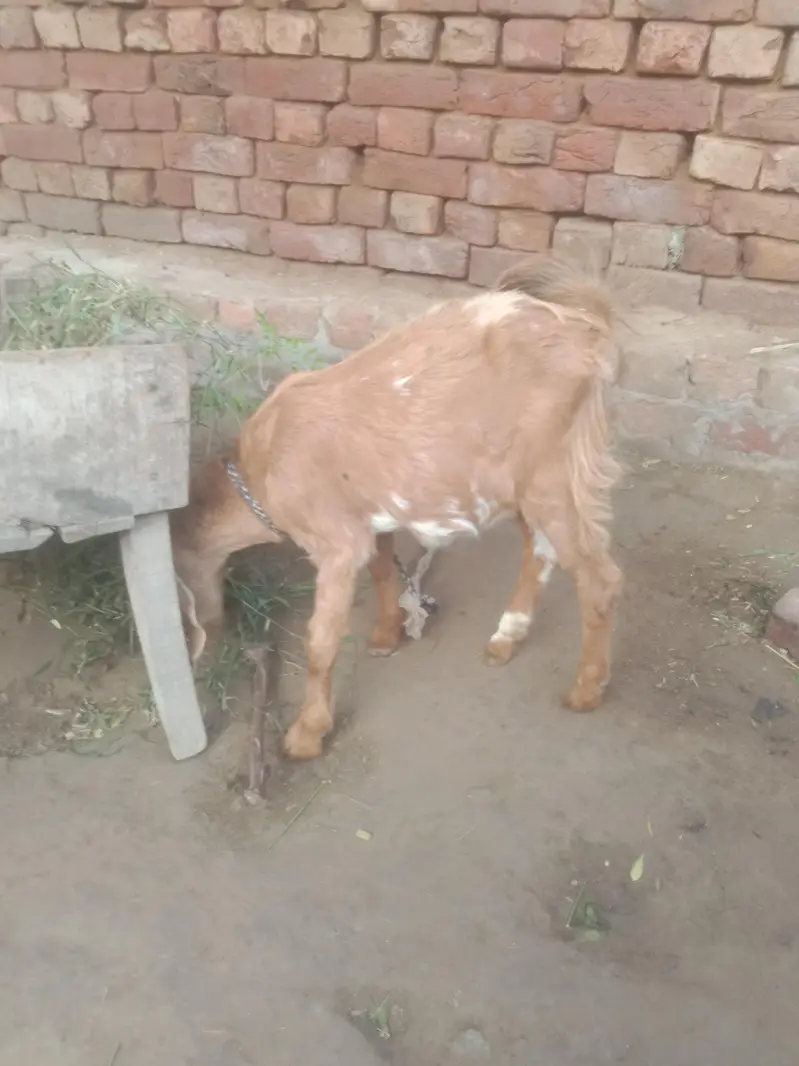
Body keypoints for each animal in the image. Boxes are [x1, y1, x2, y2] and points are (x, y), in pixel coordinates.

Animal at [170, 254, 623, 760]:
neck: (260, 471)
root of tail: (587, 326)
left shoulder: (334, 542)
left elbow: (320, 641)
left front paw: (307, 734)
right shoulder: (369, 516)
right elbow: (384, 570)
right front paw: (387, 635)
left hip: (555, 472)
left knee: (599, 578)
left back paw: (586, 689)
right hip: (523, 482)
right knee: (539, 550)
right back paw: (506, 637)